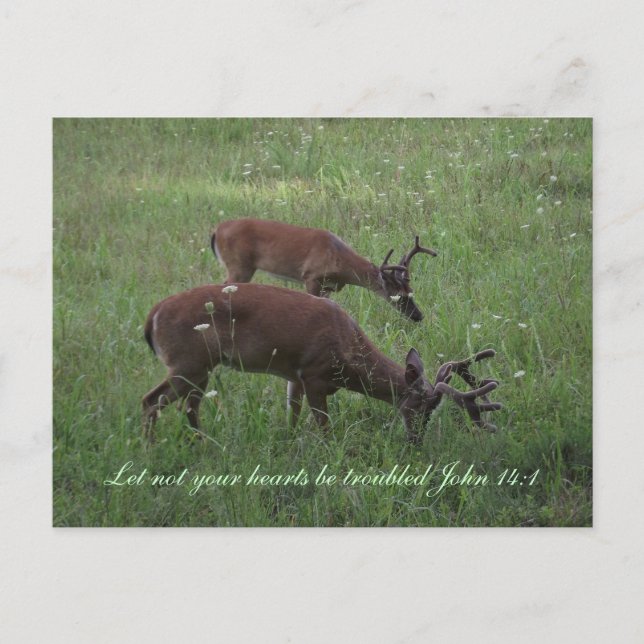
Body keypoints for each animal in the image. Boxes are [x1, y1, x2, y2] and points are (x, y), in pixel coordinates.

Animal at [142, 283, 502, 444]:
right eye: (420, 407)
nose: (416, 441)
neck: (349, 356)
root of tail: (153, 315)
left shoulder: (295, 375)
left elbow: (292, 414)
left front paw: (288, 443)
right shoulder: (314, 375)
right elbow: (325, 427)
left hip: (195, 369)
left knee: (184, 406)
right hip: (190, 363)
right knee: (152, 400)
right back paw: (155, 448)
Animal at [210, 218, 437, 322]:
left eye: (411, 292)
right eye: (399, 297)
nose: (419, 316)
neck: (339, 259)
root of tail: (216, 230)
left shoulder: (329, 286)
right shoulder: (311, 276)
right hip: (239, 266)